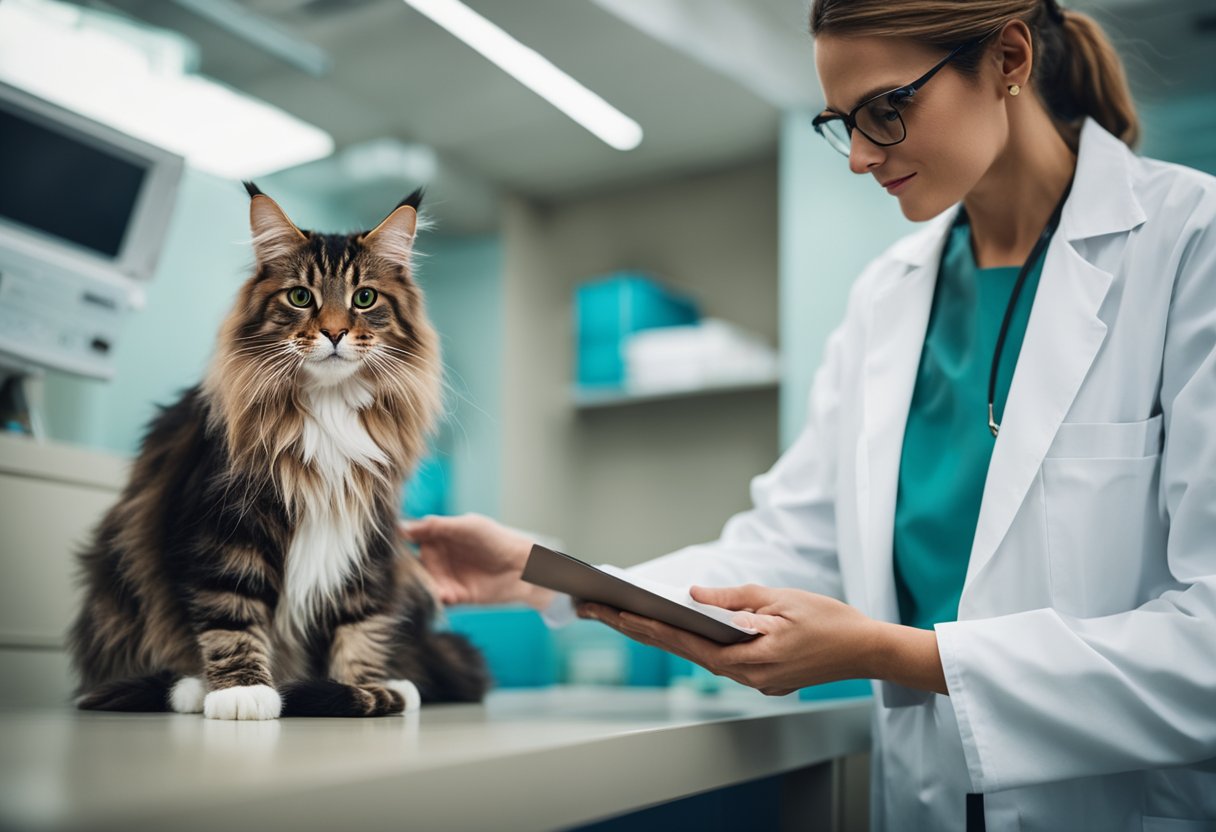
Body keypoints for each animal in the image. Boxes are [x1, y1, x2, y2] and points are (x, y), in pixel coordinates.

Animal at [69, 184, 488, 720]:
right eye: (301, 297)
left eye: (364, 298)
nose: (334, 333)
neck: (329, 410)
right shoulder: (226, 528)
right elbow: (231, 613)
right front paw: (243, 692)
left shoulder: (367, 536)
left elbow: (362, 624)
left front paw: (366, 688)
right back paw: (192, 689)